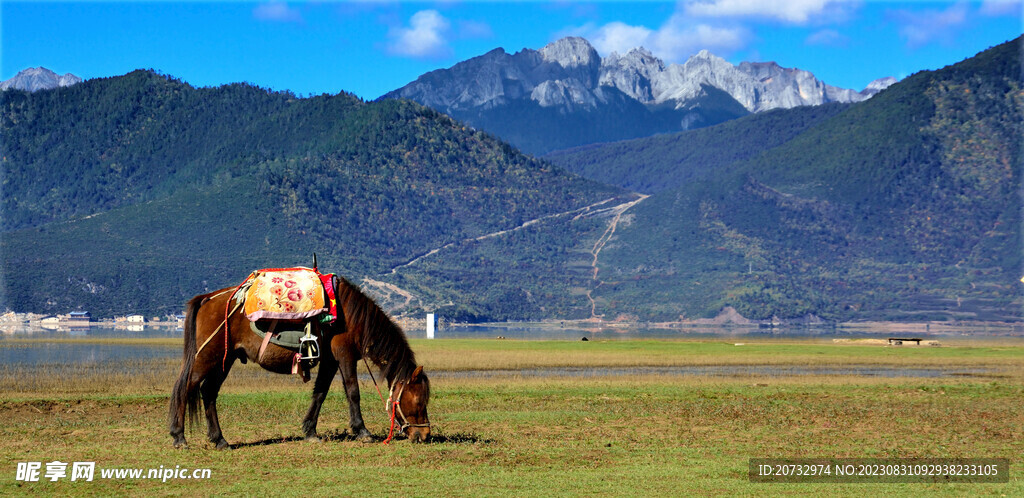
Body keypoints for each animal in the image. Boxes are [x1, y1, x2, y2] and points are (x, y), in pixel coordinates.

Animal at [166, 276, 428, 446]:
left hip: (225, 359)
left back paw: (219, 439)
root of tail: (208, 298)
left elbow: (320, 392)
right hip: (207, 356)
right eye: (418, 401)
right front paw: (362, 431)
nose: (424, 435)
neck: (352, 315)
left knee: (208, 392)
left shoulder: (330, 360)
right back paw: (179, 437)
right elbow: (353, 391)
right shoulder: (344, 355)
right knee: (186, 387)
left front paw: (310, 431)